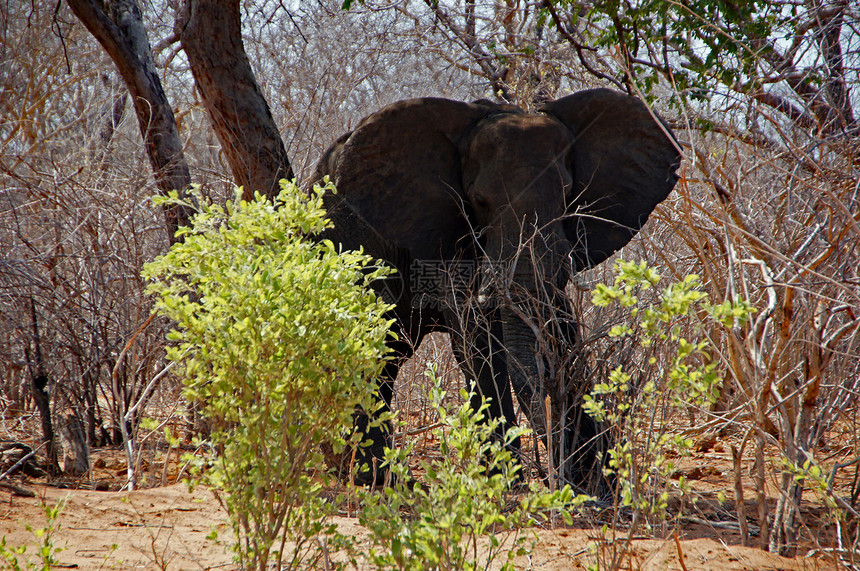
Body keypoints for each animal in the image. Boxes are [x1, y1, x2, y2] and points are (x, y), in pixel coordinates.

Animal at [312, 87, 680, 494]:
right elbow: (477, 338)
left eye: (568, 194)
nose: (555, 478)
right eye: (479, 201)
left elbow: (559, 327)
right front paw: (509, 486)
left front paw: (598, 487)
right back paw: (381, 480)